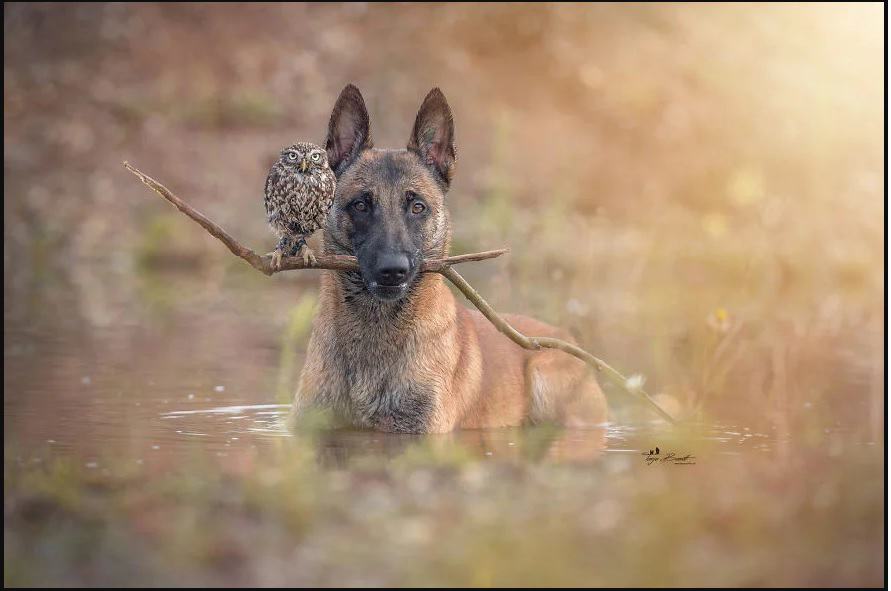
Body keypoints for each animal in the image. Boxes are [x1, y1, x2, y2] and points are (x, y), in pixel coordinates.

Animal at [290, 84, 608, 434]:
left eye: (417, 207)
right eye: (361, 205)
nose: (393, 271)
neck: (374, 329)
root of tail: (564, 336)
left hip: (544, 375)